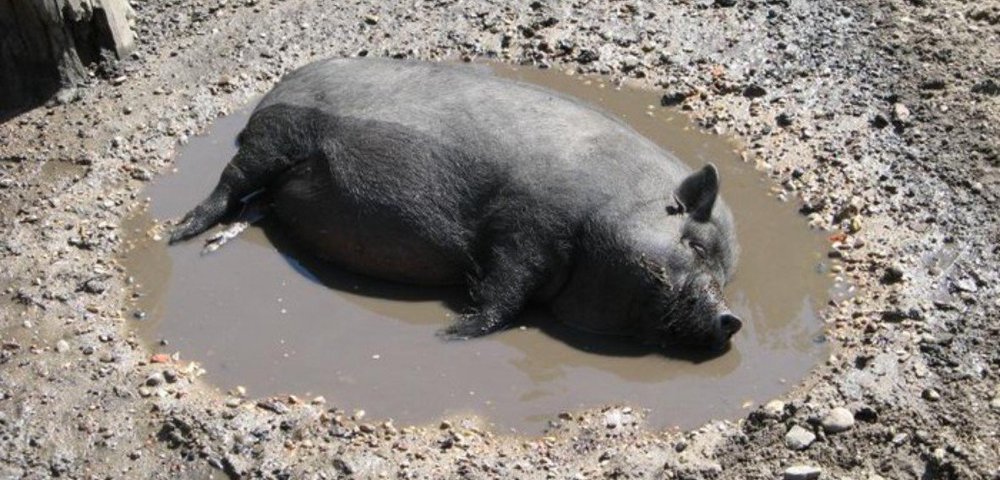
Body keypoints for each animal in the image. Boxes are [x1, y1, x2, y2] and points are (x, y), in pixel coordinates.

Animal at [168, 58, 740, 348]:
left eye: (725, 272)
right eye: (693, 245)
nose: (731, 318)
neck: (608, 205)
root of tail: (279, 85)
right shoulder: (524, 226)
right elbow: (504, 293)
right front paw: (450, 333)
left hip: (278, 175)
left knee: (256, 205)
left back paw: (209, 244)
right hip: (275, 136)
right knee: (230, 182)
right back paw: (178, 233)